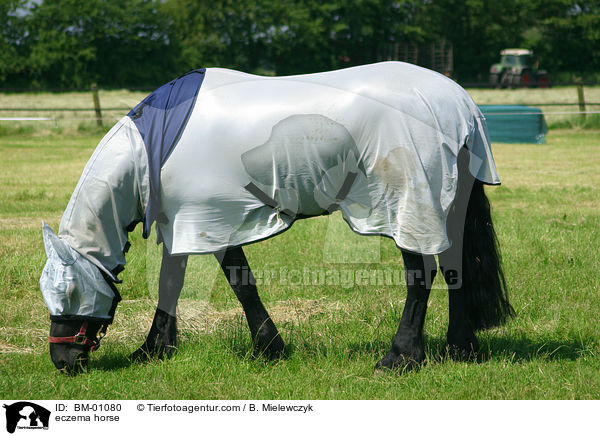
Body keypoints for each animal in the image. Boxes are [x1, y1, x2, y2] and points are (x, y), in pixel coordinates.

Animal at [39, 62, 512, 374]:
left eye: (69, 290)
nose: (62, 360)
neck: (156, 146)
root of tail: (459, 103)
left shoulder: (212, 219)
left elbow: (240, 284)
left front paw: (269, 348)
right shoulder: (182, 224)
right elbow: (170, 284)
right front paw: (153, 349)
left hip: (405, 206)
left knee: (423, 274)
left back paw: (400, 357)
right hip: (447, 205)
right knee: (455, 268)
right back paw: (460, 348)